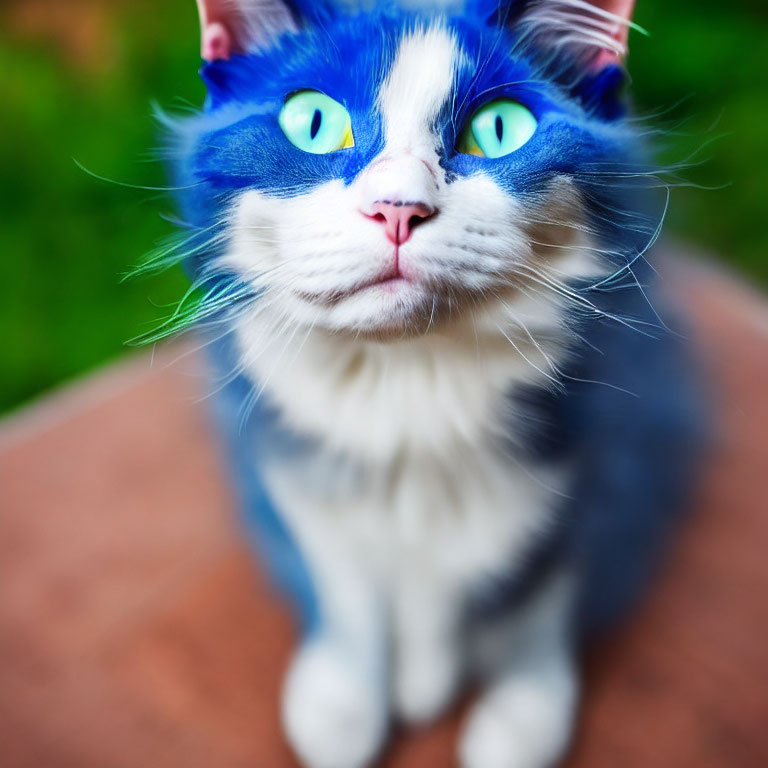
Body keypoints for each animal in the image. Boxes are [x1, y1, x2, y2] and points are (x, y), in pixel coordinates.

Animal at [159, 1, 704, 768]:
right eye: (314, 122)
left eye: (500, 128)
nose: (398, 207)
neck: (412, 387)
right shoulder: (294, 461)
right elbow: (345, 576)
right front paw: (345, 701)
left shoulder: (602, 442)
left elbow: (540, 587)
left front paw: (520, 713)